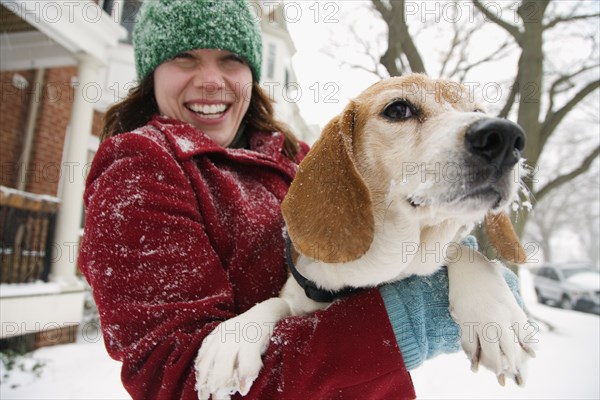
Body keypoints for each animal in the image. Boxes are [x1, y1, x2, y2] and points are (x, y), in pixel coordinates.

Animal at [197, 74, 536, 396]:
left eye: (477, 111)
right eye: (398, 110)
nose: (506, 136)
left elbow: (467, 251)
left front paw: (494, 316)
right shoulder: (301, 292)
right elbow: (278, 303)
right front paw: (236, 336)